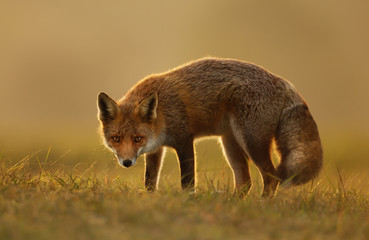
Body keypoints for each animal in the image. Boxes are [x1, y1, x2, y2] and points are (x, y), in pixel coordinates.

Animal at [98, 57, 322, 197]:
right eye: (116, 139)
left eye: (137, 138)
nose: (127, 162)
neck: (162, 113)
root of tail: (283, 82)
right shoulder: (156, 149)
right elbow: (149, 181)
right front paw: (150, 200)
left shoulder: (184, 140)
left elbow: (187, 181)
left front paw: (188, 202)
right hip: (230, 144)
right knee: (245, 182)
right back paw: (231, 204)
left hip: (251, 142)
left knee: (271, 177)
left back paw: (261, 205)